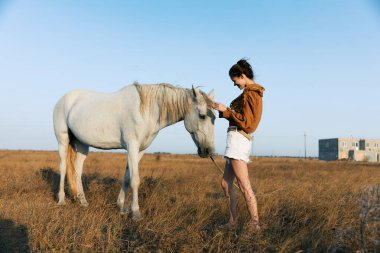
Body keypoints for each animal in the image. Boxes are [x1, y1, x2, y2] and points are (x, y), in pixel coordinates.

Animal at [52, 83, 215, 219]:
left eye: (214, 118)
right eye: (202, 115)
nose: (208, 151)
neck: (146, 111)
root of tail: (63, 99)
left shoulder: (140, 150)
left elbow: (126, 177)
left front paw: (122, 207)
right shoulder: (132, 146)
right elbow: (135, 180)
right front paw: (135, 212)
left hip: (82, 145)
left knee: (77, 170)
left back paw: (83, 201)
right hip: (63, 140)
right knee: (63, 167)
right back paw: (61, 200)